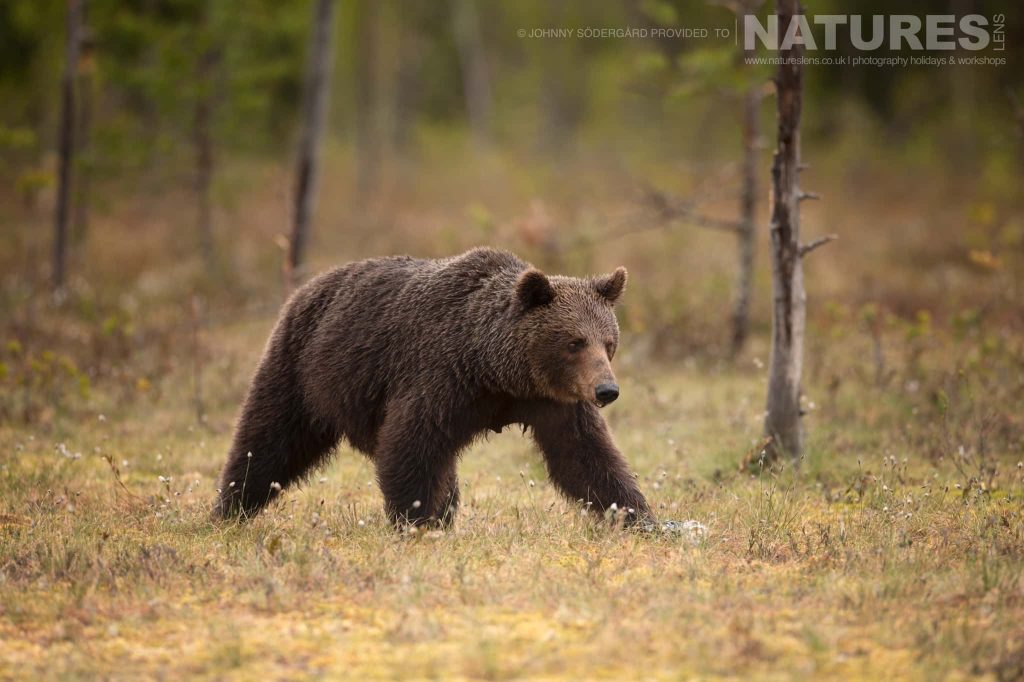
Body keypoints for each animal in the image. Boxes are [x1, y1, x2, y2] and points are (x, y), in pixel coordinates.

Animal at [213, 247, 652, 528]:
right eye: (574, 342)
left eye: (608, 342)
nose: (606, 390)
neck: (495, 368)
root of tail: (309, 284)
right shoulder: (440, 375)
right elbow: (412, 445)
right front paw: (416, 520)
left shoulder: (552, 401)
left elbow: (584, 457)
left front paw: (638, 516)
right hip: (303, 369)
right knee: (270, 440)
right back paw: (229, 508)